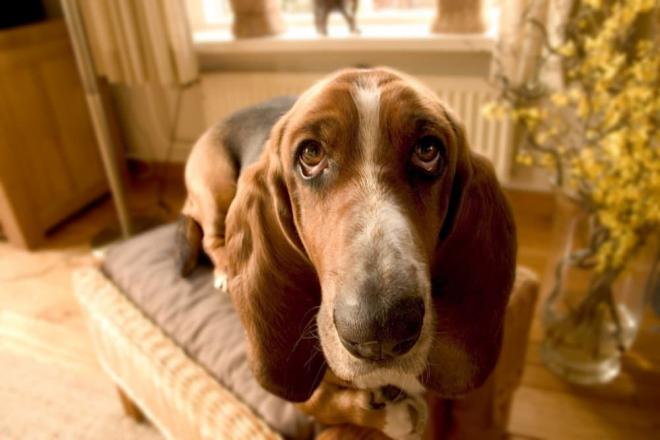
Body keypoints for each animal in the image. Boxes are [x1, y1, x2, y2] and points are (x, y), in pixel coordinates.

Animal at [178, 67, 520, 438]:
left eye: (428, 150)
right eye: (311, 155)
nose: (380, 330)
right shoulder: (305, 398)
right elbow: (330, 400)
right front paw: (396, 416)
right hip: (216, 190)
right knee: (212, 237)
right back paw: (224, 272)